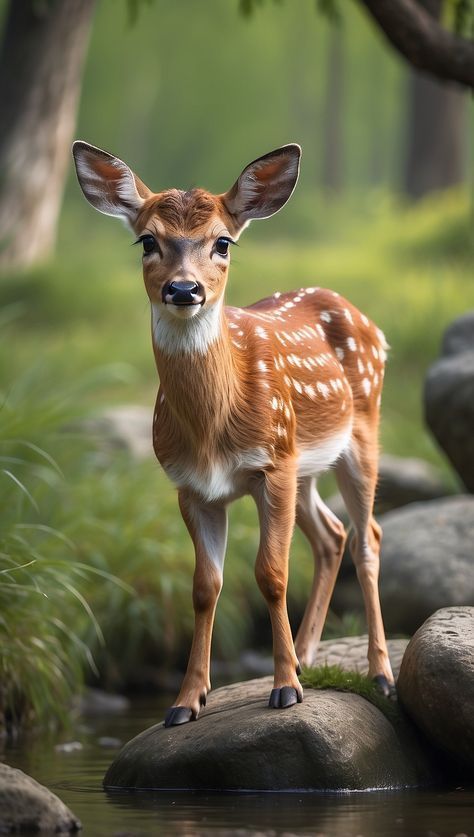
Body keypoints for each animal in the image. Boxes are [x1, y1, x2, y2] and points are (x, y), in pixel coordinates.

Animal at [71, 142, 396, 724]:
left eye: (223, 241)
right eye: (147, 240)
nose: (184, 288)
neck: (211, 433)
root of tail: (366, 320)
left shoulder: (271, 466)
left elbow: (271, 574)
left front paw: (285, 689)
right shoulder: (191, 486)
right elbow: (205, 586)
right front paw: (186, 701)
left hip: (358, 435)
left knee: (368, 537)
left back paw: (379, 674)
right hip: (304, 465)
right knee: (332, 535)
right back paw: (308, 656)